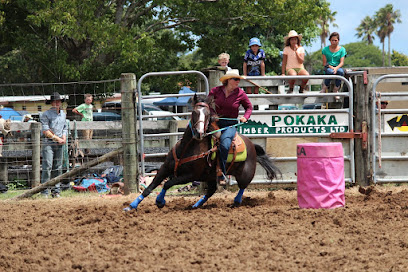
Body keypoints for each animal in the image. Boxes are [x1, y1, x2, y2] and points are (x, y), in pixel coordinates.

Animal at [122, 94, 278, 211]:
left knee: (242, 187)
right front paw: (131, 206)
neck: (186, 149)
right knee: (211, 191)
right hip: (210, 176)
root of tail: (252, 145)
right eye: (194, 112)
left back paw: (235, 202)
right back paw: (195, 205)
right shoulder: (165, 168)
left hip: (245, 174)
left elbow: (168, 183)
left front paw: (160, 201)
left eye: (208, 114)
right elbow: (150, 187)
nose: (199, 133)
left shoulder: (190, 175)